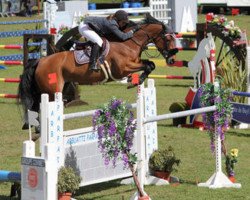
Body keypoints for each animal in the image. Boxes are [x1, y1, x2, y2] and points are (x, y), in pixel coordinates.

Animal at [18, 13, 177, 128]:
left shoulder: (135, 62)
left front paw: (136, 80)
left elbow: (150, 64)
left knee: (34, 106)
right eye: (168, 39)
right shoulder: (122, 69)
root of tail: (41, 61)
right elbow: (148, 66)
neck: (127, 43)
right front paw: (134, 81)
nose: (172, 60)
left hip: (45, 88)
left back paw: (33, 128)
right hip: (52, 90)